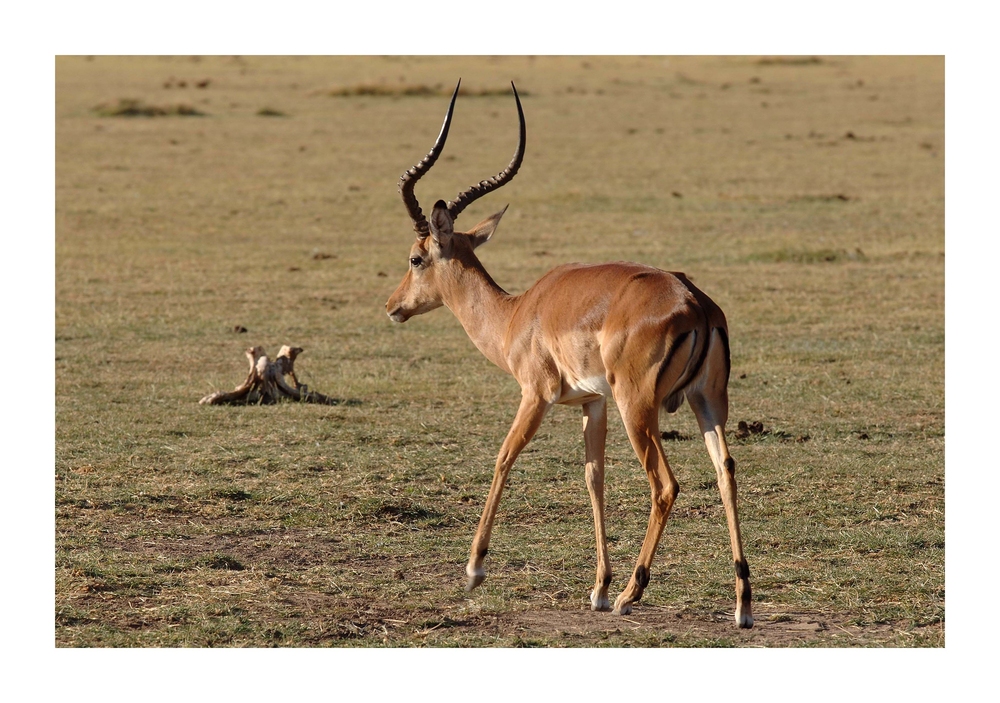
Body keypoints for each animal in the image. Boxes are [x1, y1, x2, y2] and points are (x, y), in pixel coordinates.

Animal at [382, 81, 752, 628]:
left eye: (415, 258)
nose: (393, 307)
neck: (517, 313)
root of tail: (695, 303)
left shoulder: (536, 395)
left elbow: (504, 457)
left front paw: (474, 569)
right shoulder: (591, 403)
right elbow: (593, 478)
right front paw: (597, 587)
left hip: (638, 407)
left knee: (665, 485)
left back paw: (632, 595)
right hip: (707, 403)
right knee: (725, 472)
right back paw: (742, 604)